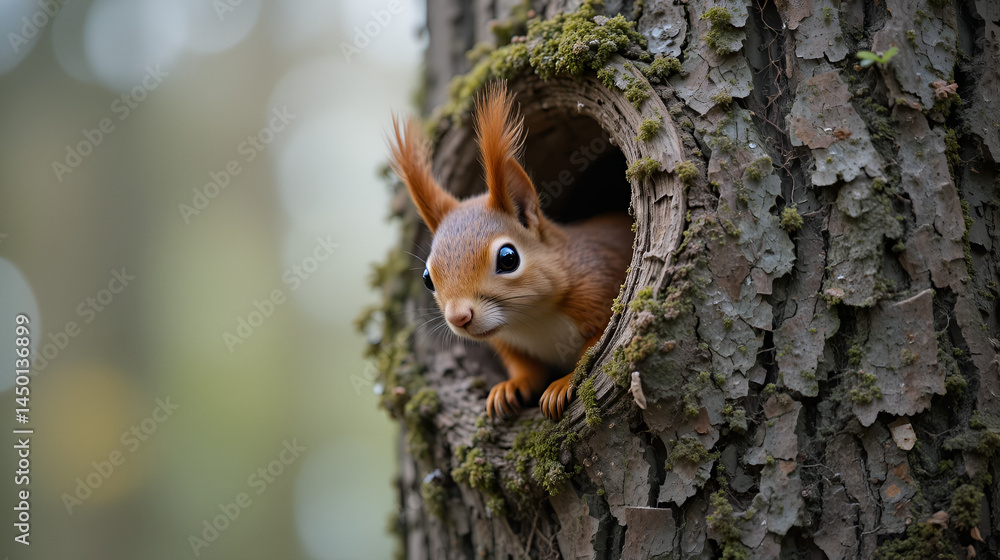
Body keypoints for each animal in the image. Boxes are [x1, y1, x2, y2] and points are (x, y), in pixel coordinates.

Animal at [388, 81, 632, 421]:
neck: (530, 319)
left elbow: (593, 350)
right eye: (427, 278)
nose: (459, 317)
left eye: (508, 258)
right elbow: (525, 368)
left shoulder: (598, 290)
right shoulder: (509, 343)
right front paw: (509, 388)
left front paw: (562, 383)